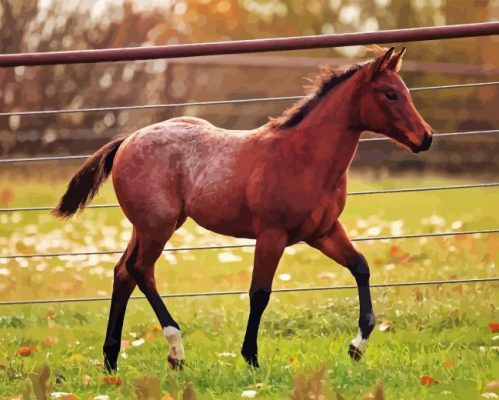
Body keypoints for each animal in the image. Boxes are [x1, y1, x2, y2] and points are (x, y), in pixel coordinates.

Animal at [52, 47, 432, 372]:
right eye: (390, 94)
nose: (426, 137)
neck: (303, 157)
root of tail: (128, 140)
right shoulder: (272, 235)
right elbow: (259, 294)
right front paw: (251, 358)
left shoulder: (324, 232)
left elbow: (361, 268)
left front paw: (356, 347)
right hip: (158, 226)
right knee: (141, 270)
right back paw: (176, 351)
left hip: (147, 227)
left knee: (123, 273)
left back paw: (111, 359)